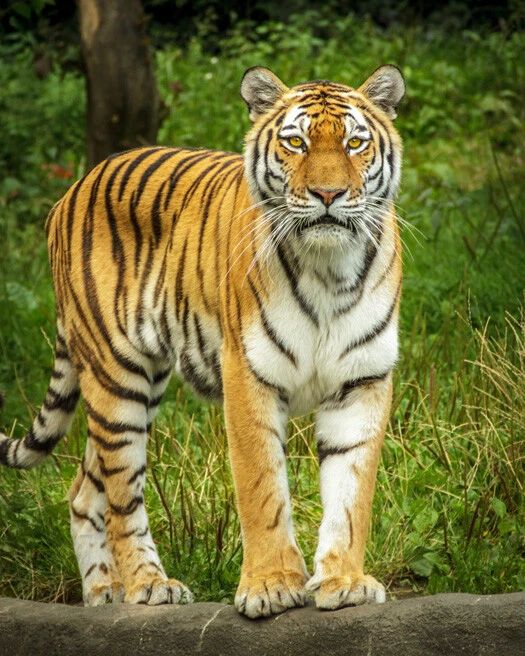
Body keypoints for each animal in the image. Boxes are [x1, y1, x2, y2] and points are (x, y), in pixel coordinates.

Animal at [0, 64, 404, 617]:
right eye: (295, 142)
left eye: (355, 143)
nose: (328, 195)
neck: (329, 269)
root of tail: (73, 189)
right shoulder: (249, 374)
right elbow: (261, 488)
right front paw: (271, 585)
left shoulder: (362, 381)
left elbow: (351, 493)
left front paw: (344, 581)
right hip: (117, 376)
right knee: (122, 495)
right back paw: (148, 586)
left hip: (137, 383)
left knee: (84, 490)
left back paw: (102, 593)